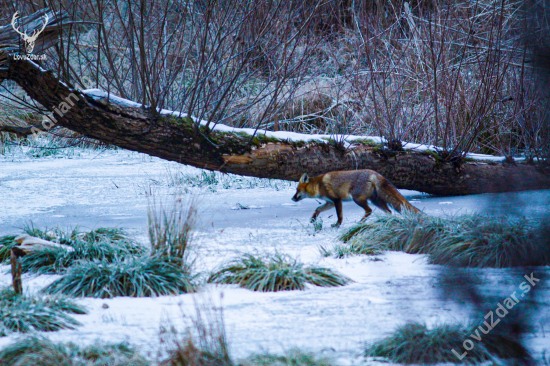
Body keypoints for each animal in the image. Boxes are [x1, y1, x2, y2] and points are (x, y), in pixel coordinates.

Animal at [294, 169, 422, 226]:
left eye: (297, 190)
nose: (292, 198)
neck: (318, 185)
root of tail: (375, 173)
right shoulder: (330, 202)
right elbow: (317, 209)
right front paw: (313, 219)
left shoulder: (337, 200)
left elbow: (339, 215)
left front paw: (337, 225)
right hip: (375, 201)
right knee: (389, 211)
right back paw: (386, 221)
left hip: (358, 199)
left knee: (369, 210)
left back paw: (360, 222)